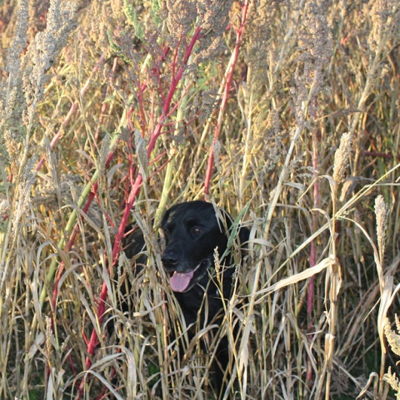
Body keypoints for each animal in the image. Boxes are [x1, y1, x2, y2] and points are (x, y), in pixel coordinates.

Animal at [122, 203, 248, 396]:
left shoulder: (226, 344)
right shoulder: (175, 343)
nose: (167, 260)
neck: (203, 295)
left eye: (197, 230)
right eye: (168, 230)